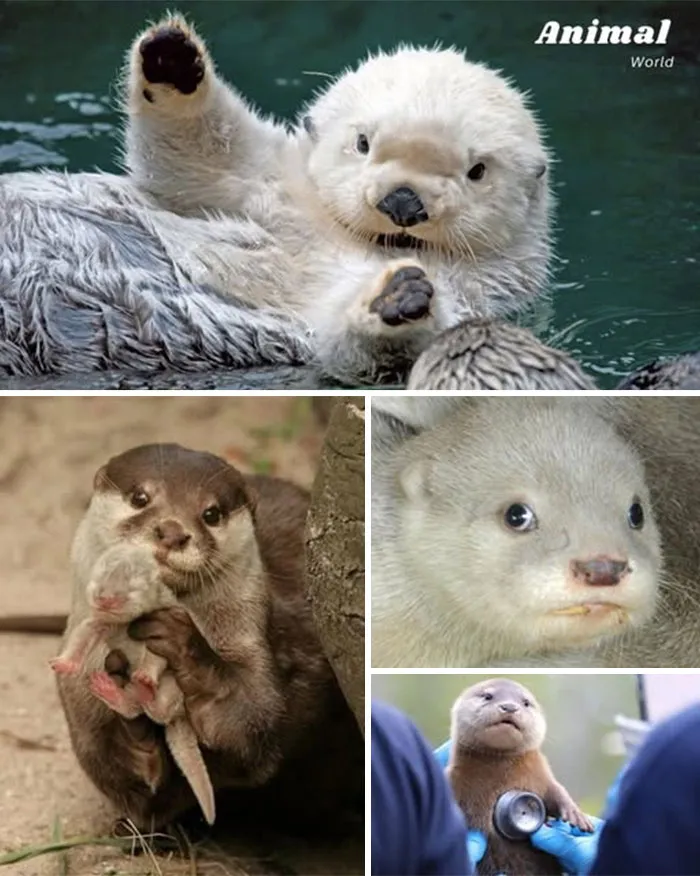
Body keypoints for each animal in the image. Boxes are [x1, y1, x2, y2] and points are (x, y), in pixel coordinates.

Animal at [1, 15, 550, 384]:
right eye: (363, 143)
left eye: (477, 171)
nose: (403, 203)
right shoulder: (269, 187)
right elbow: (199, 157)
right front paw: (172, 59)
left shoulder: (472, 295)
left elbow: (358, 346)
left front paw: (398, 297)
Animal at [56, 443, 363, 830]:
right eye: (140, 497)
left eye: (211, 513)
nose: (172, 531)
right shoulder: (79, 699)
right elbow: (118, 776)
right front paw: (132, 729)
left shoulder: (260, 645)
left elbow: (253, 723)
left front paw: (185, 648)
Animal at [447, 679, 592, 876]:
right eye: (487, 696)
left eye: (526, 702)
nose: (509, 707)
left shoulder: (541, 777)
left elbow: (558, 792)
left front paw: (577, 816)